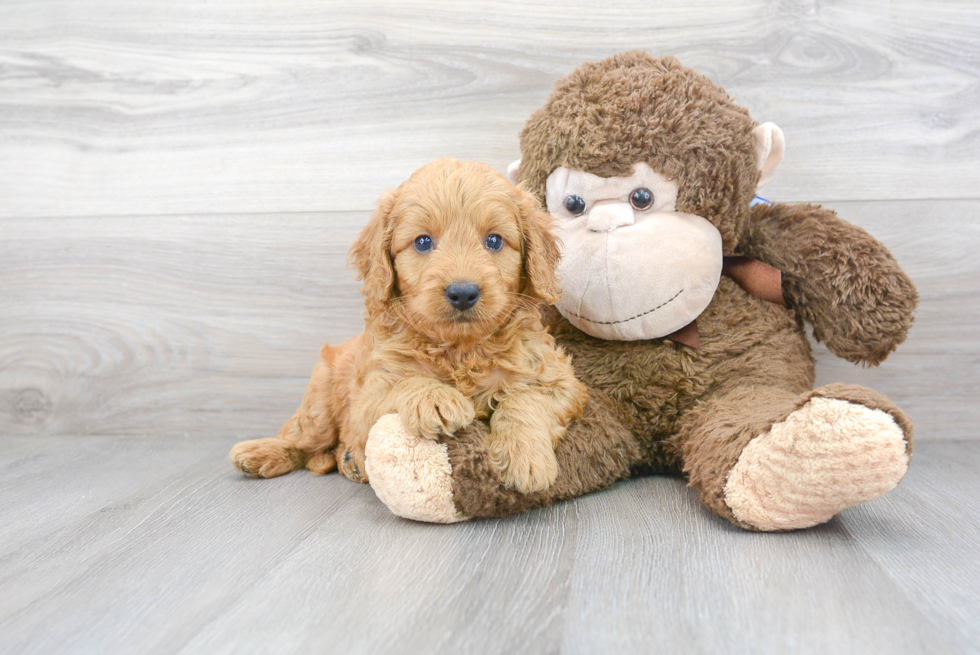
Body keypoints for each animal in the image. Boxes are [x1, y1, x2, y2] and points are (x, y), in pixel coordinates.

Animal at [232, 161, 580, 494]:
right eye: (423, 242)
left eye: (494, 241)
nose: (463, 292)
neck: (461, 349)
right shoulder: (366, 400)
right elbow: (405, 383)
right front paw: (436, 398)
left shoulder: (560, 382)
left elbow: (525, 400)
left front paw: (525, 458)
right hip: (319, 401)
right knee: (302, 439)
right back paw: (260, 452)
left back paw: (349, 461)